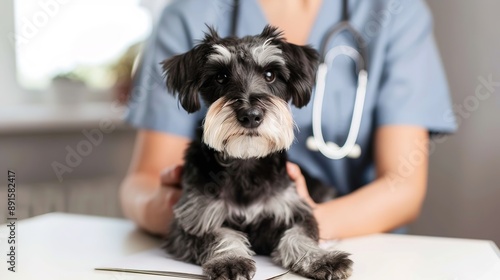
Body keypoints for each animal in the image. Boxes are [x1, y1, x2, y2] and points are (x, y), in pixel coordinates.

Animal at [161, 25, 352, 278]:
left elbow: (299, 235)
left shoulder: (294, 211)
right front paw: (230, 260)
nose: (250, 115)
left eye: (270, 75)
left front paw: (323, 259)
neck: (245, 162)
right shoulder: (193, 220)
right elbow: (221, 234)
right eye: (221, 77)